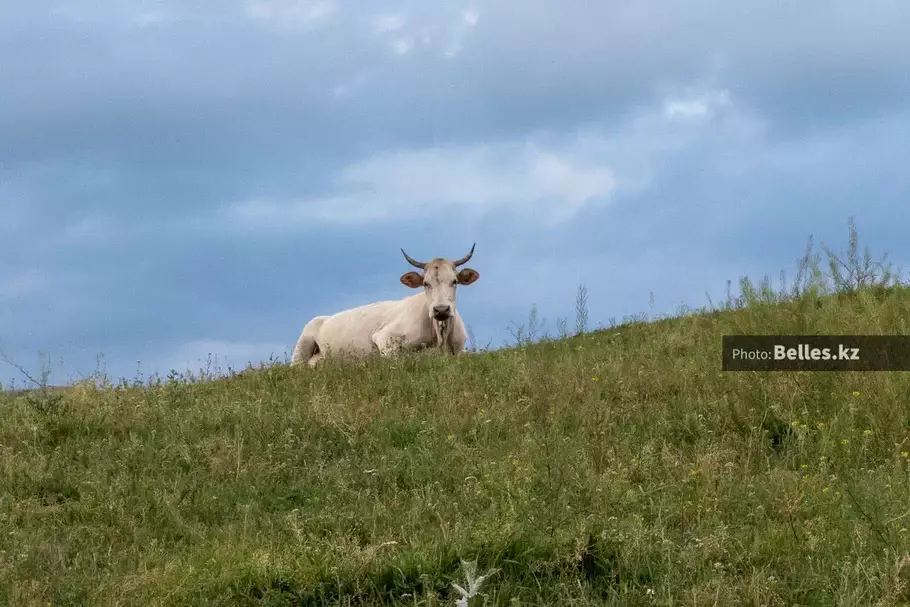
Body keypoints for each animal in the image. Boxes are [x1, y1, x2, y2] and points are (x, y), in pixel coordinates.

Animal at [292, 243, 480, 366]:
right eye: (426, 283)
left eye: (454, 281)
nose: (441, 309)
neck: (440, 336)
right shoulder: (384, 337)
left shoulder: (460, 348)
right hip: (303, 344)